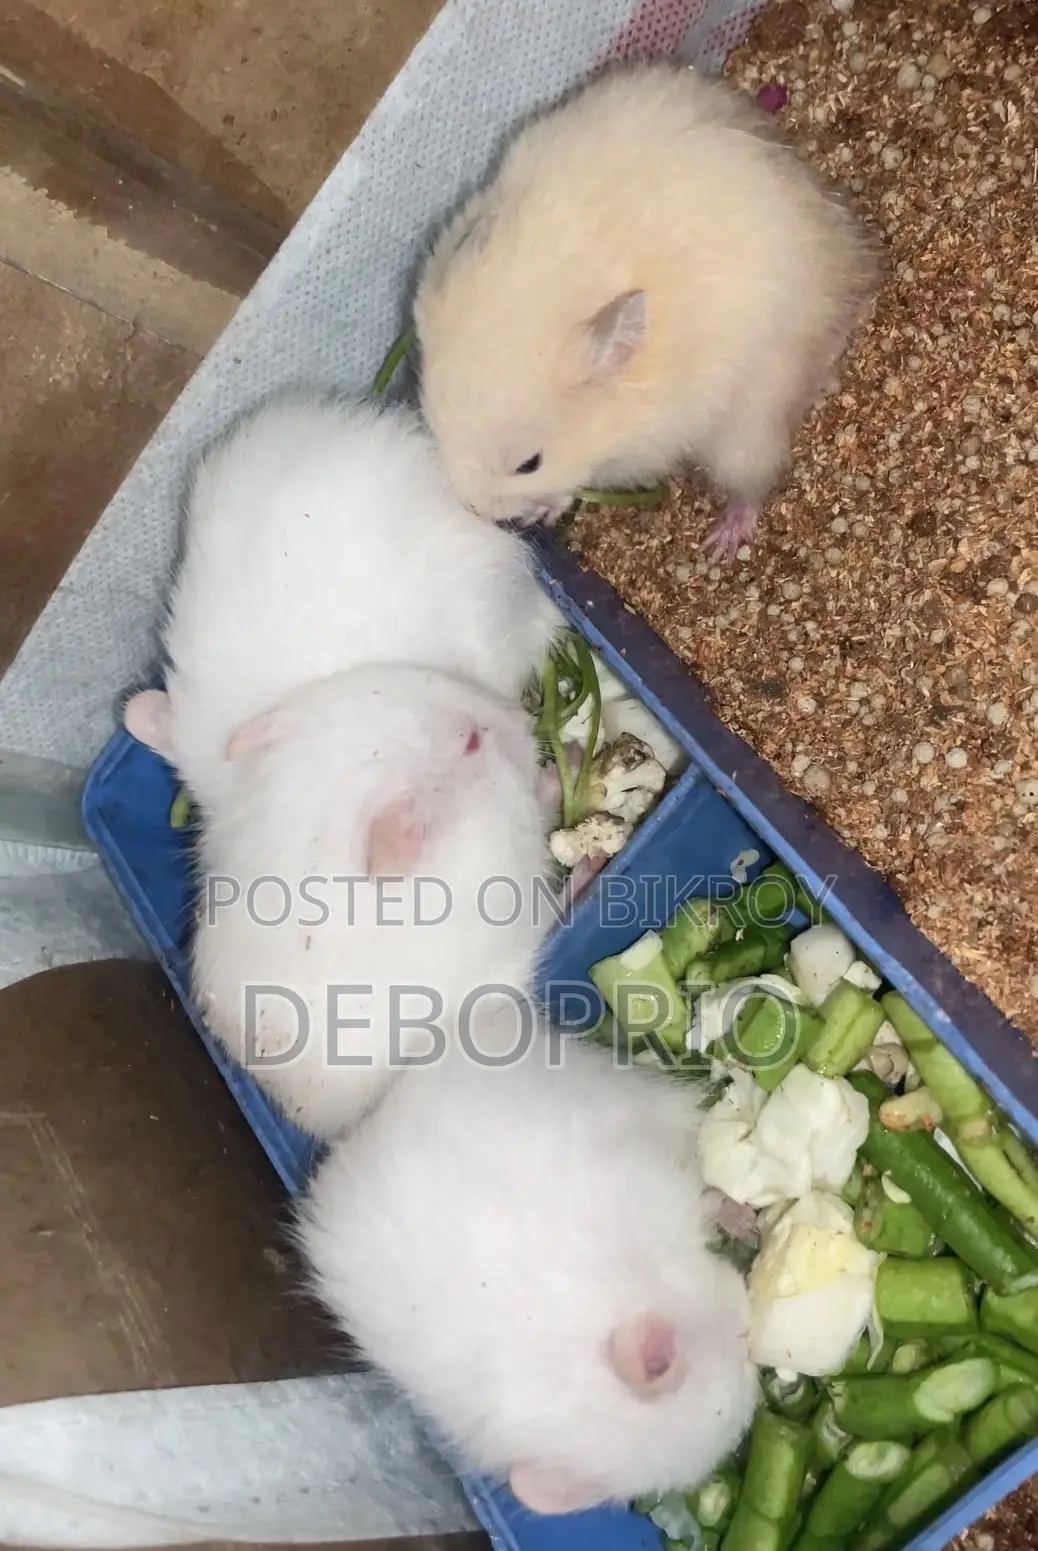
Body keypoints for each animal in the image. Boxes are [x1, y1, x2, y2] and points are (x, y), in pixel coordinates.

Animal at [413, 61, 880, 560]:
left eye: (530, 464)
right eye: (435, 423)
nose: (477, 509)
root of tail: (855, 270)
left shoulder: (642, 447)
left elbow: (577, 482)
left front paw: (547, 509)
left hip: (753, 415)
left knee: (754, 481)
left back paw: (721, 543)